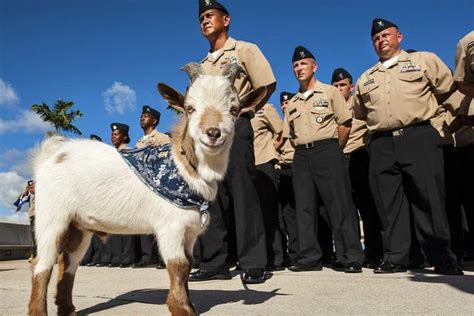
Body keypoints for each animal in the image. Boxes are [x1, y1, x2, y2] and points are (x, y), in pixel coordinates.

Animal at [28, 62, 266, 316]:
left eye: (234, 109)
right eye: (190, 108)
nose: (213, 133)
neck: (182, 167)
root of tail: (51, 157)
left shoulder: (190, 231)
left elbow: (188, 265)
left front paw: (187, 303)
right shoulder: (170, 227)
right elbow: (178, 265)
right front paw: (182, 308)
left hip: (79, 226)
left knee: (69, 263)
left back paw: (67, 309)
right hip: (52, 217)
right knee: (43, 264)